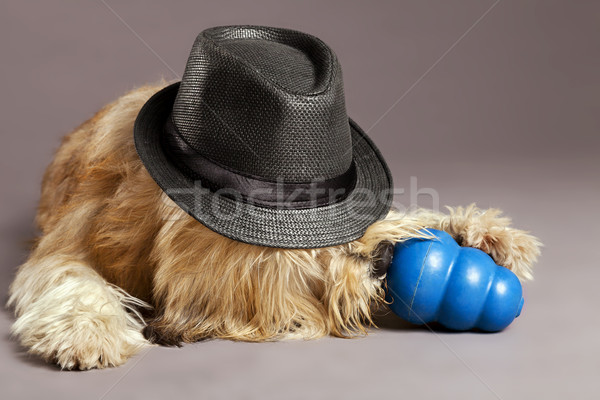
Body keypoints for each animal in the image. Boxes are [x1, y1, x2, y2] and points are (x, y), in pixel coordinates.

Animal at [4, 25, 540, 368]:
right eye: (300, 256)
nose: (385, 257)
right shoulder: (69, 242)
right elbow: (67, 276)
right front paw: (87, 328)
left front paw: (485, 231)